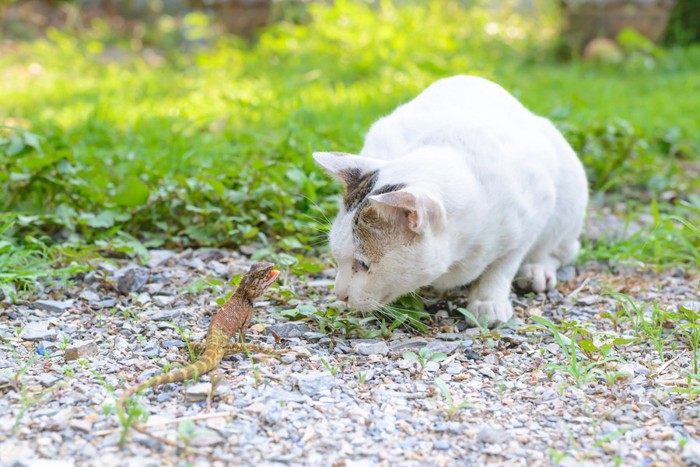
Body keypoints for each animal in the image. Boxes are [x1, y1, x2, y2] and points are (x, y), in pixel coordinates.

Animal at [312, 77, 584, 326]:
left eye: (362, 264)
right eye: (337, 255)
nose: (340, 294)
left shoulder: (537, 206)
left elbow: (504, 264)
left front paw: (488, 300)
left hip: (569, 196)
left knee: (560, 250)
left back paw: (536, 270)